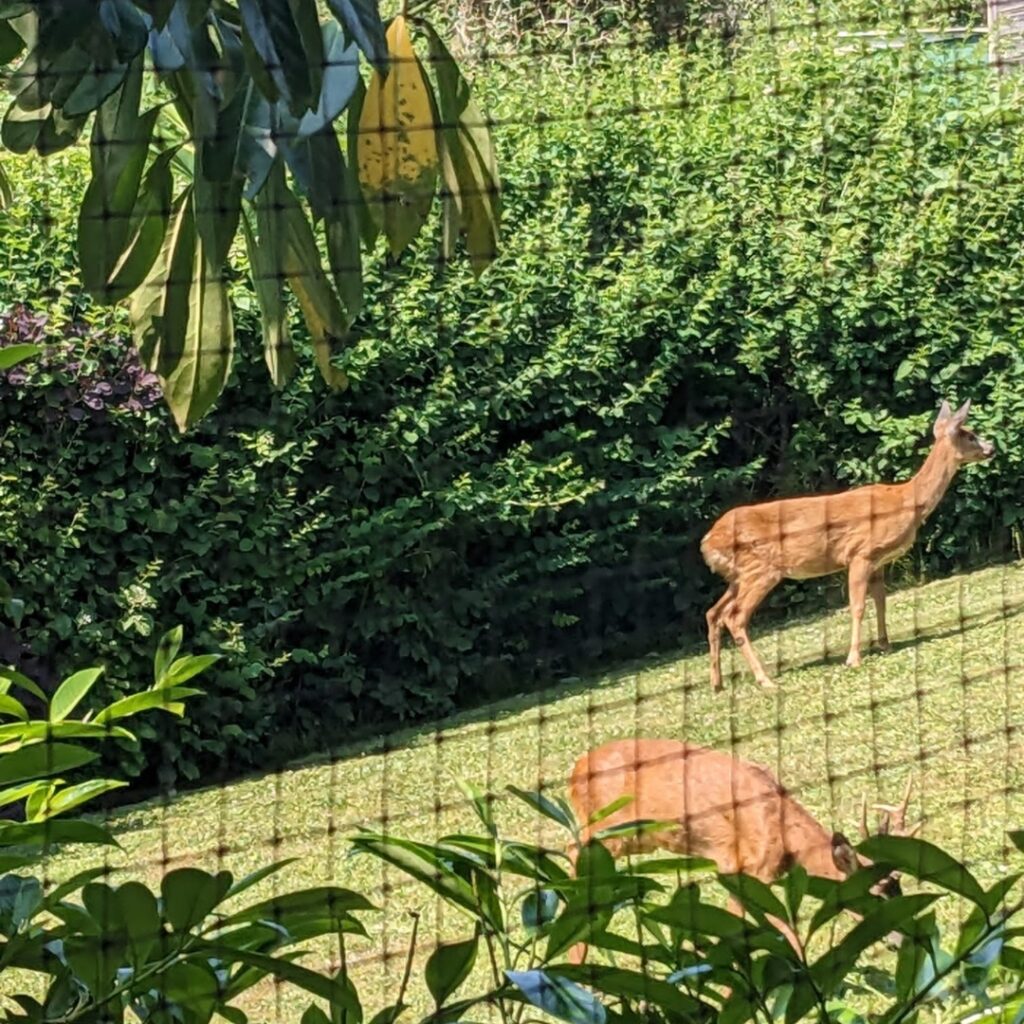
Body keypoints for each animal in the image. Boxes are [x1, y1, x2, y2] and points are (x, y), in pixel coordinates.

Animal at [565, 737, 919, 965]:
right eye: (874, 895)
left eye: (900, 890)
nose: (903, 940)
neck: (783, 833)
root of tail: (575, 769)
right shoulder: (743, 869)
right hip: (608, 828)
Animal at [701, 399, 995, 691]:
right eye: (970, 435)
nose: (991, 448)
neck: (907, 501)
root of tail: (707, 542)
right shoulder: (860, 554)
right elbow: (857, 606)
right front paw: (854, 658)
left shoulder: (878, 561)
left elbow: (881, 601)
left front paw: (885, 644)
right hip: (761, 569)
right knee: (735, 617)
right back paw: (764, 679)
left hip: (739, 576)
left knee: (713, 613)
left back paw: (717, 683)